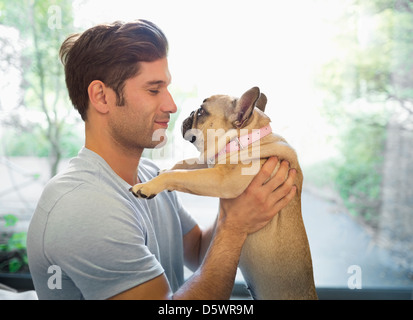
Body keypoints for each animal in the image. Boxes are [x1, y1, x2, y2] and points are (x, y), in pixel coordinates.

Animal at [130, 86, 318, 298]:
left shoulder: (221, 180)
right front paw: (164, 170)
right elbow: (184, 163)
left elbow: (179, 174)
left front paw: (149, 185)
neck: (244, 139)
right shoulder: (210, 163)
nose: (189, 113)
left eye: (201, 112)